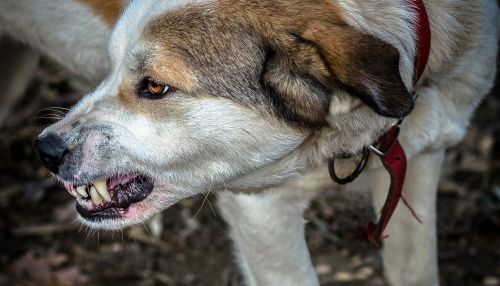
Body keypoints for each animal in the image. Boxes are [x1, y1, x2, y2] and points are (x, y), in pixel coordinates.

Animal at [1, 0, 498, 286]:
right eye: (112, 66)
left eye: (155, 87)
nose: (46, 152)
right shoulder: (261, 210)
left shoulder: (419, 161)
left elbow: (417, 270)